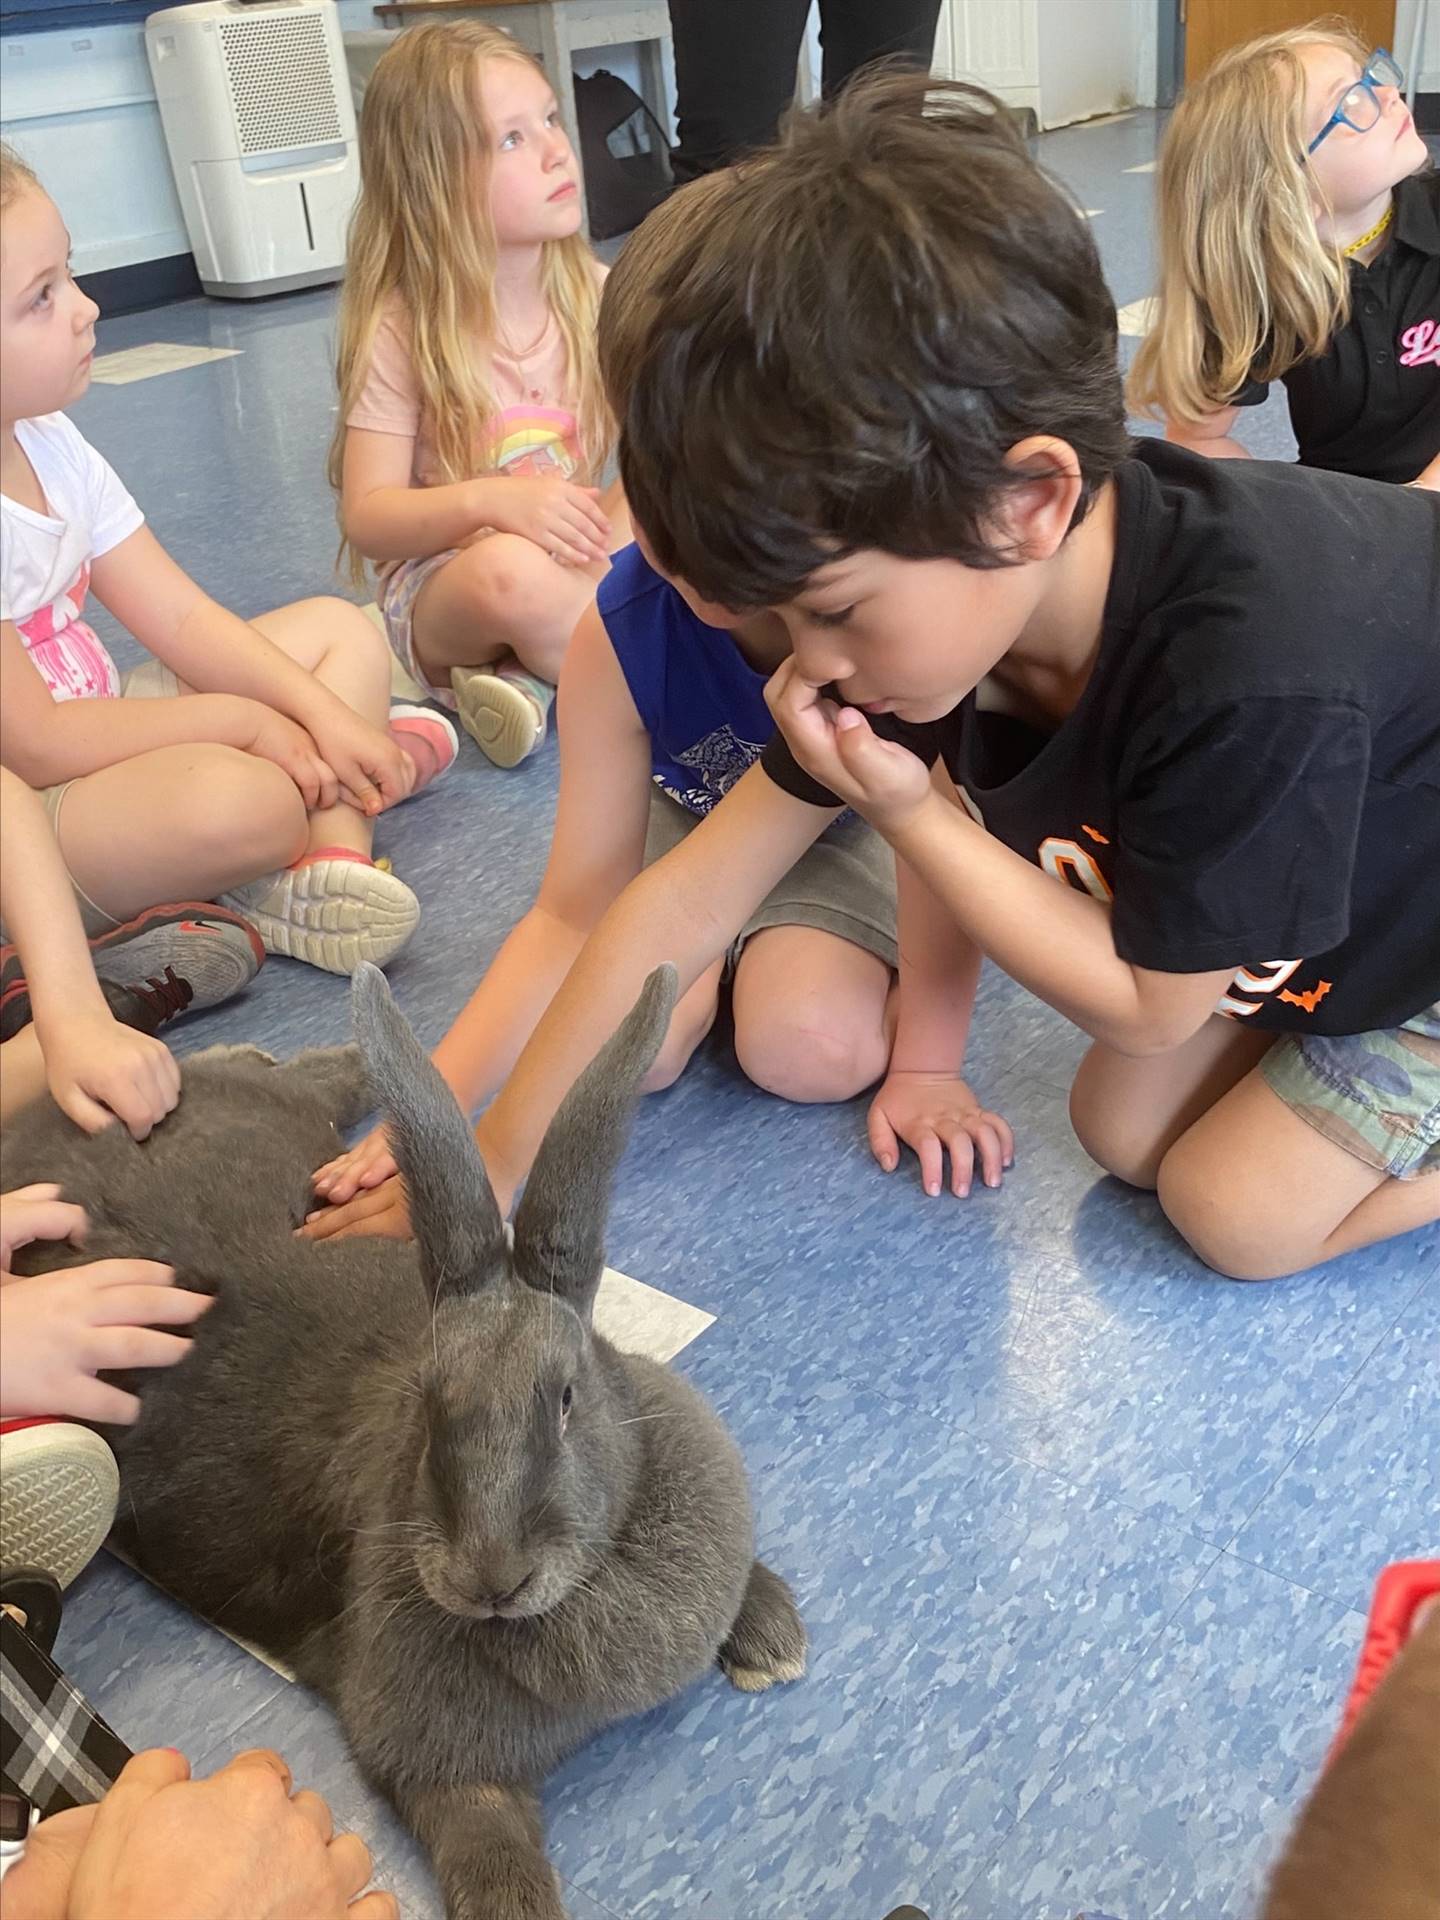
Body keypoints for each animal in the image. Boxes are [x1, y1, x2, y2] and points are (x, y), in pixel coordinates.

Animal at [2, 967, 814, 1912]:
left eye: (567, 1400)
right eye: (428, 1410)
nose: (490, 1579)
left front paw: (771, 1638)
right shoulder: (441, 1767)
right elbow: (491, 1851)